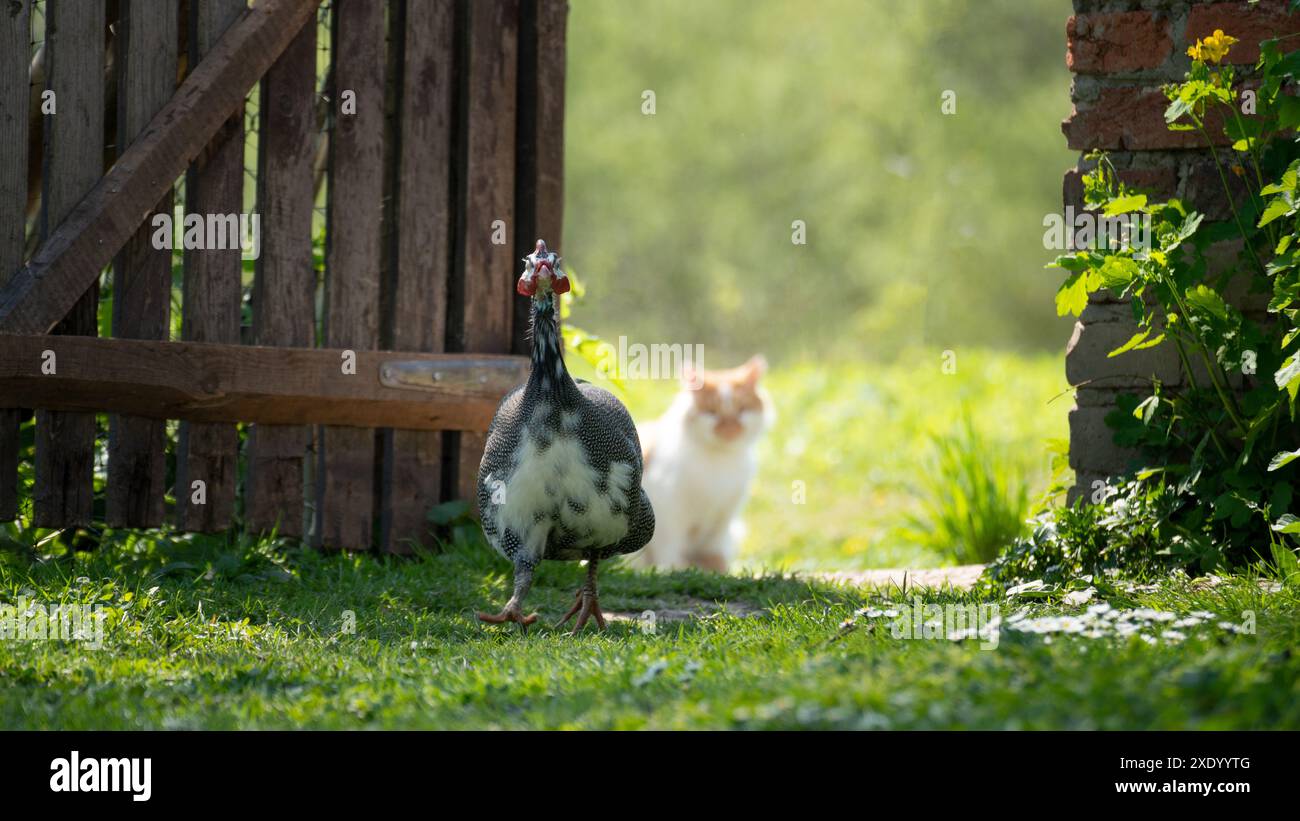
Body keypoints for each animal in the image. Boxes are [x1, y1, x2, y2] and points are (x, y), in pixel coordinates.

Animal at [629, 353, 769, 571]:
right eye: (711, 412)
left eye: (742, 410)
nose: (730, 430)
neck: (720, 460)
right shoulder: (666, 511)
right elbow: (669, 549)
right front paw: (672, 570)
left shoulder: (723, 519)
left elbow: (715, 552)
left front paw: (719, 572)